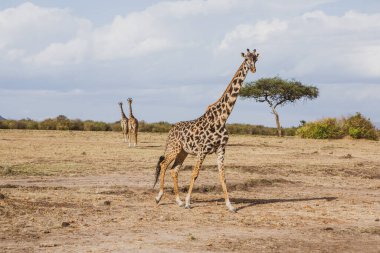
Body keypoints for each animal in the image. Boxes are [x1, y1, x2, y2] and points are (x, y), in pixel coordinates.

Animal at [154, 48, 258, 211]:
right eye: (246, 59)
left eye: (256, 59)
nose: (253, 69)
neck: (222, 118)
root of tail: (170, 130)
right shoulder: (202, 150)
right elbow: (195, 174)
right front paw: (188, 202)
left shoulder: (221, 149)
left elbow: (223, 176)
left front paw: (230, 206)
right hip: (174, 148)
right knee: (164, 164)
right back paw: (159, 197)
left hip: (183, 152)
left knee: (174, 170)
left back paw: (178, 201)